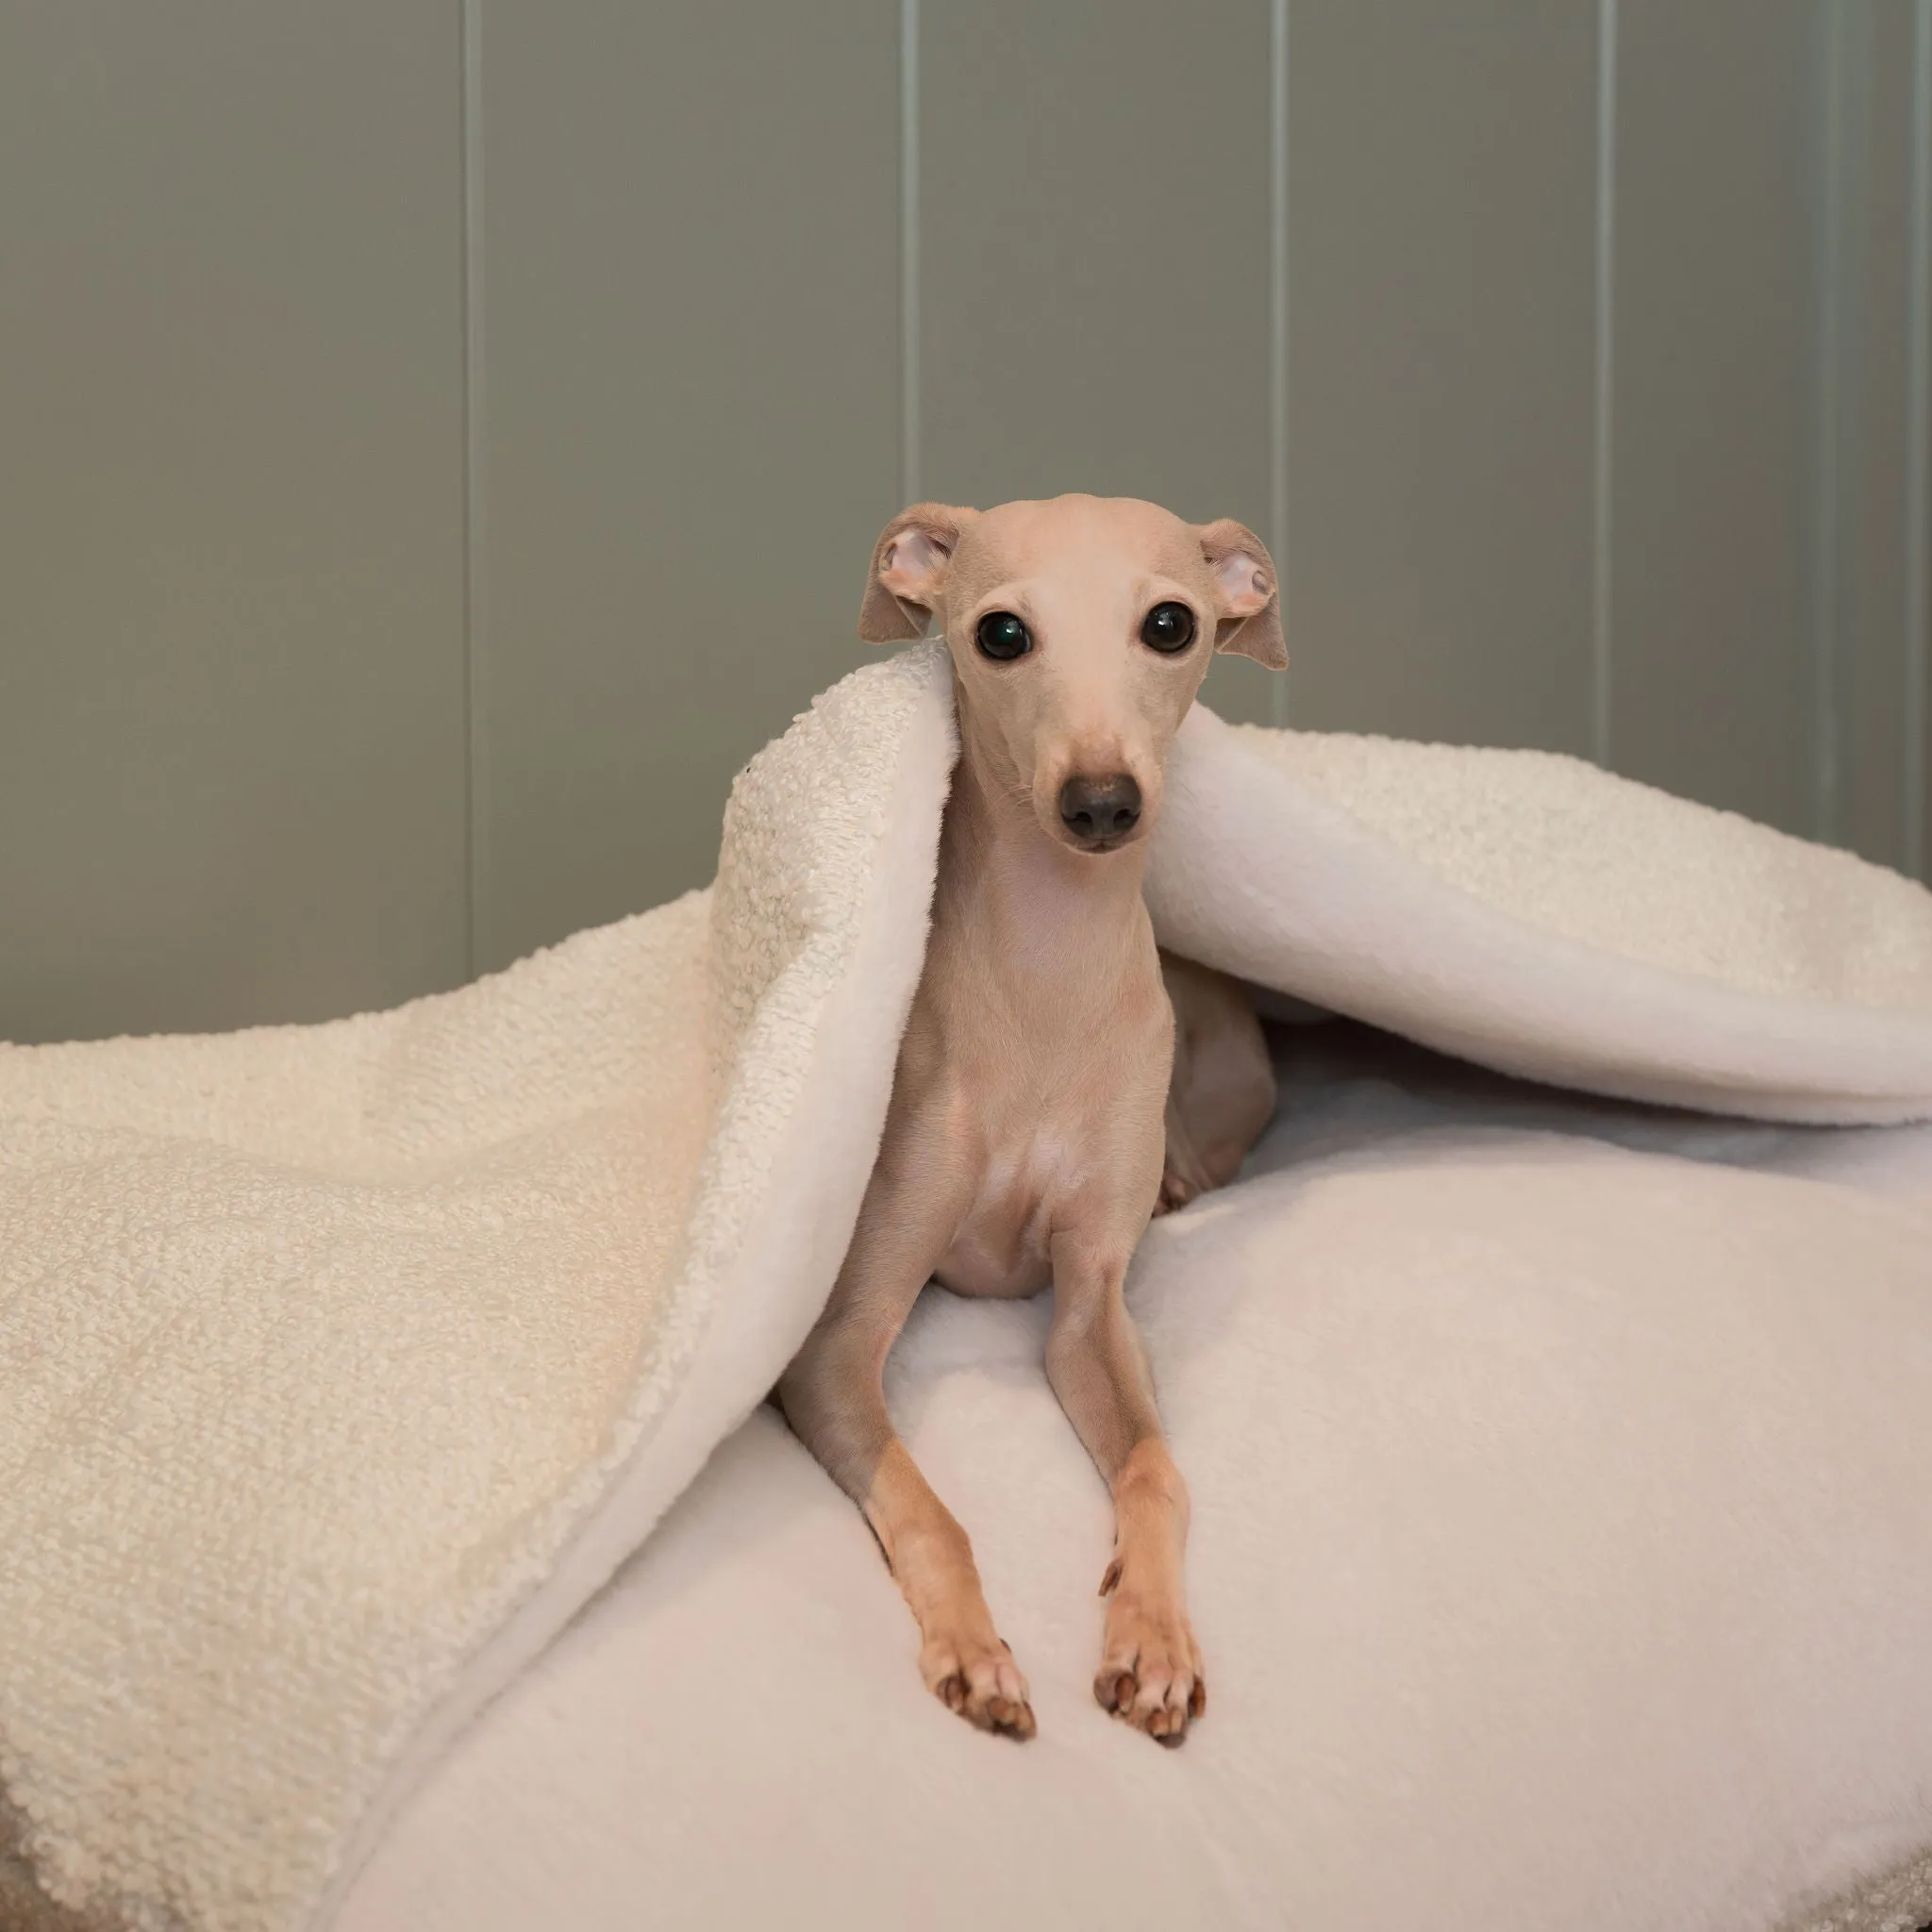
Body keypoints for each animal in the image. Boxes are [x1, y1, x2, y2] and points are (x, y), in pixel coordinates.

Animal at [769, 491, 1282, 1746]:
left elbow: (1156, 1466)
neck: (1045, 982)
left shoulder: (1088, 1303)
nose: (1099, 804)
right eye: (999, 633)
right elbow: (926, 1503)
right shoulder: (831, 1342)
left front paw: (1152, 1637)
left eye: (1169, 622)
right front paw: (974, 1650)